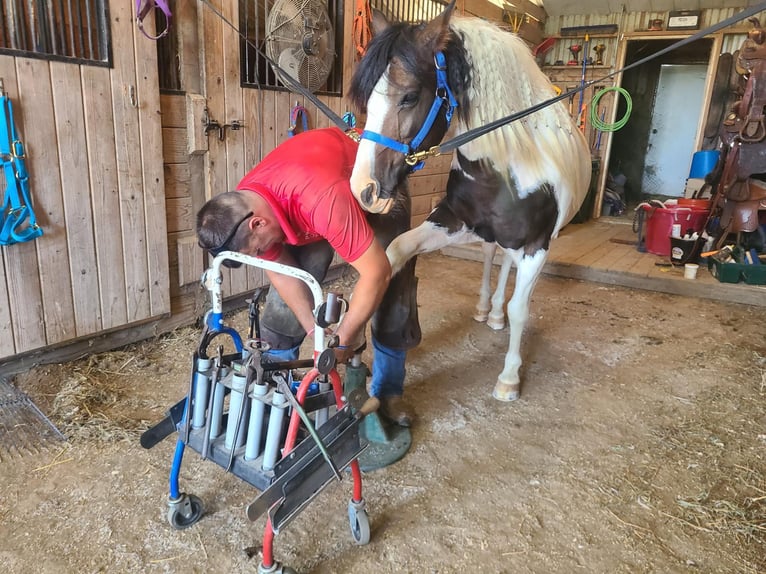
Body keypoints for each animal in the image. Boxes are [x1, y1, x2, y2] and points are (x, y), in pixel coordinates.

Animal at [350, 2, 592, 402]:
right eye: (367, 97)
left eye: (409, 96)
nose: (363, 190)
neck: (506, 167)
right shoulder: (452, 221)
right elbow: (395, 251)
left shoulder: (537, 246)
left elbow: (520, 309)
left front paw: (509, 379)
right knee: (495, 256)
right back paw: (486, 310)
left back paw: (496, 315)